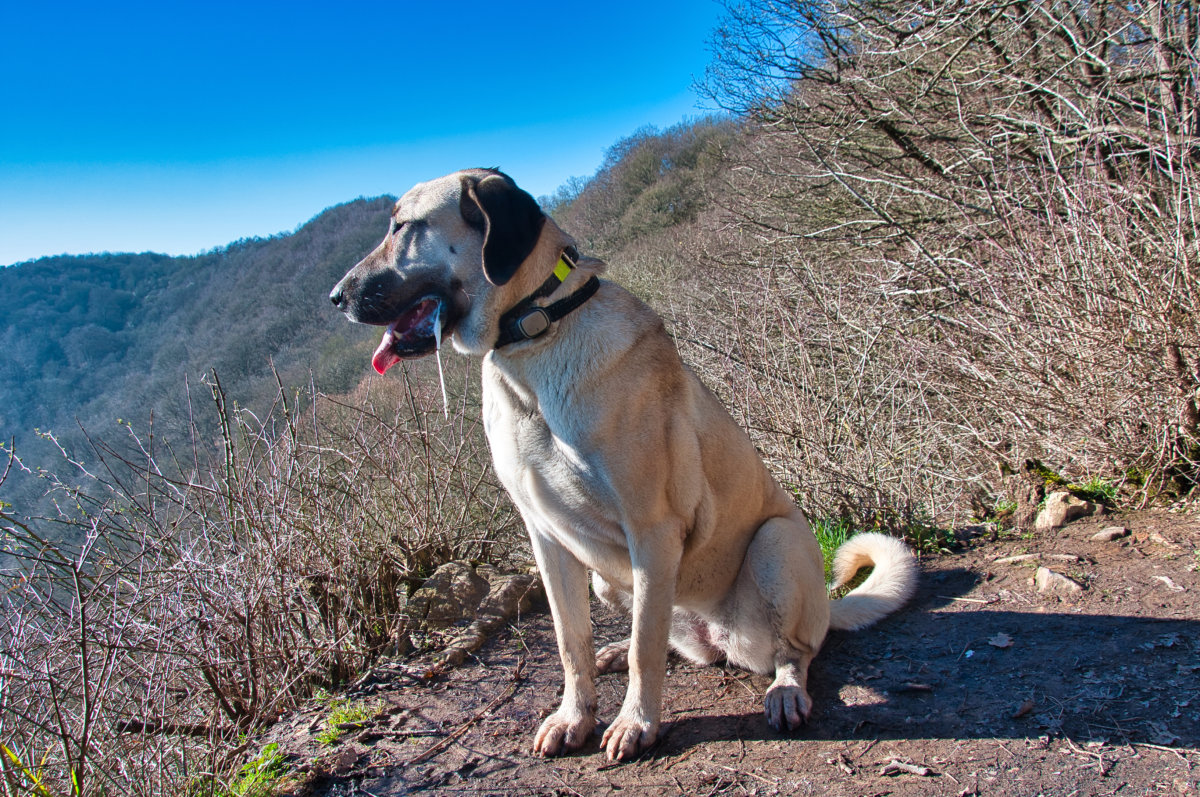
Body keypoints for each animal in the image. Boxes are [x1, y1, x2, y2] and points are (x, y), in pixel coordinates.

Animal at [331, 169, 916, 758]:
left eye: (403, 227)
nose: (336, 298)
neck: (536, 337)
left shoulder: (651, 530)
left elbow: (645, 650)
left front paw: (636, 723)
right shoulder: (547, 538)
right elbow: (571, 642)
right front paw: (574, 715)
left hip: (777, 544)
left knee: (791, 652)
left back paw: (785, 691)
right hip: (608, 580)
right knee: (666, 640)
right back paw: (613, 652)